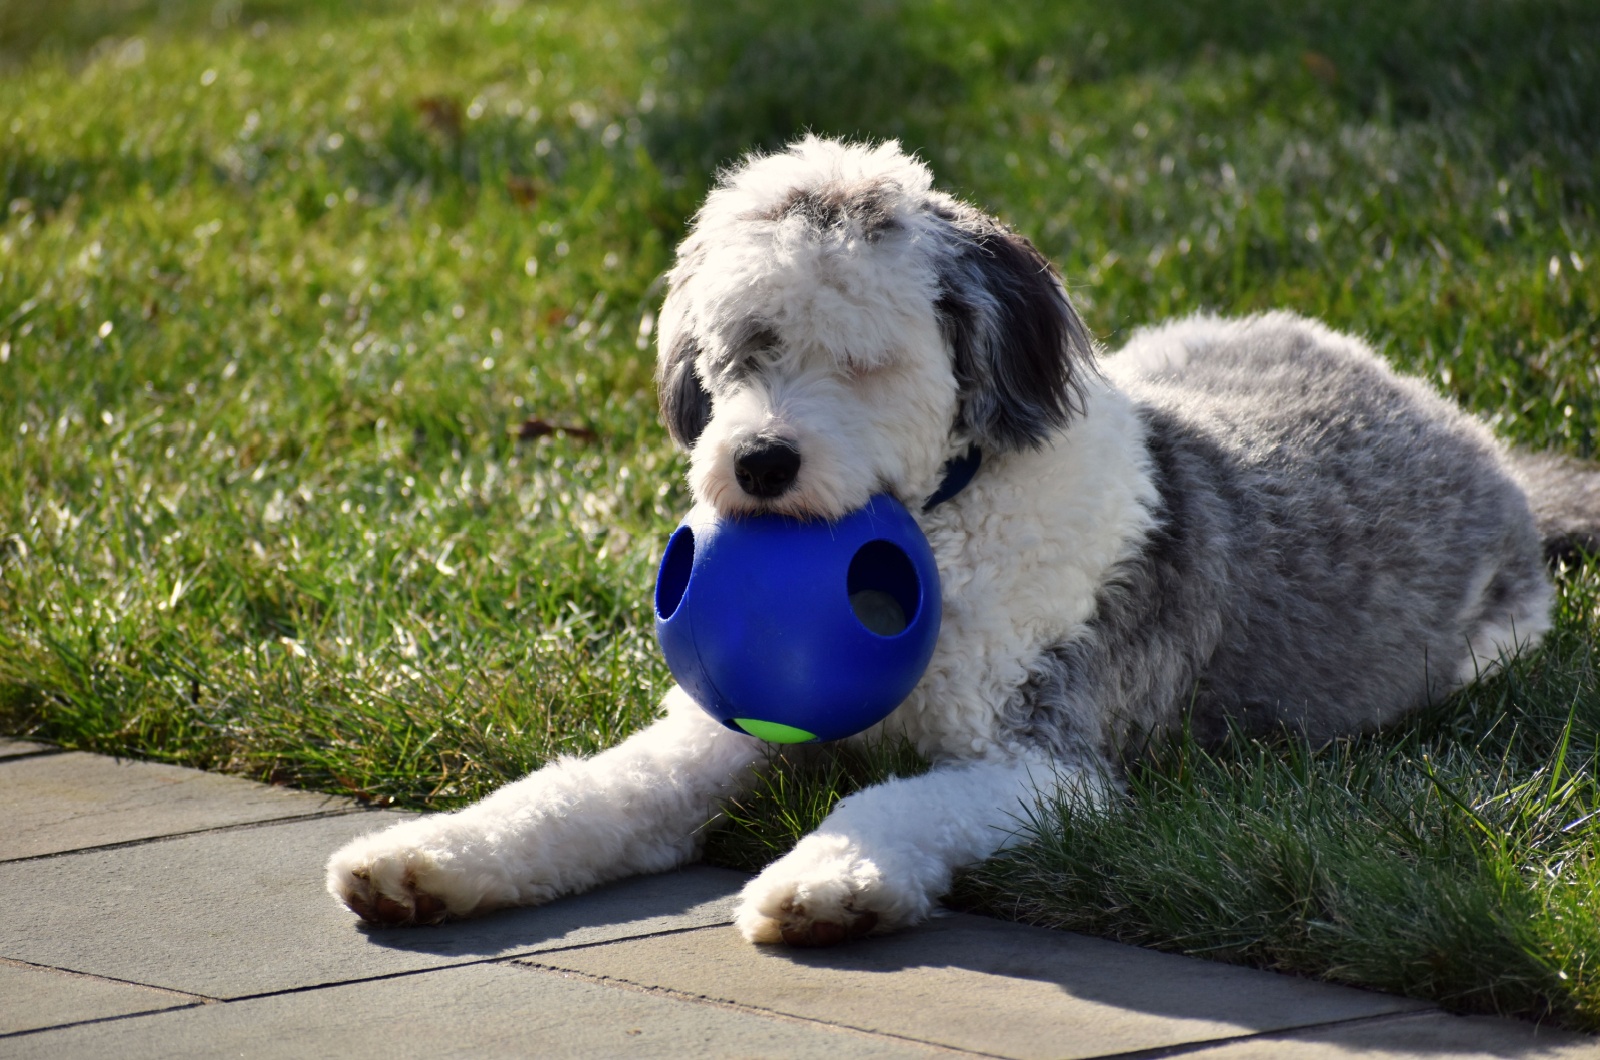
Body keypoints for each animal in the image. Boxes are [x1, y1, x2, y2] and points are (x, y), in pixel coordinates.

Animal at [328, 132, 1600, 947]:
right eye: (740, 348)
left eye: (864, 357)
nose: (758, 463)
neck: (940, 524)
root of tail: (1452, 419)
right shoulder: (714, 735)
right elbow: (589, 793)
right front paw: (424, 862)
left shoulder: (1043, 765)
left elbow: (893, 802)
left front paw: (828, 882)